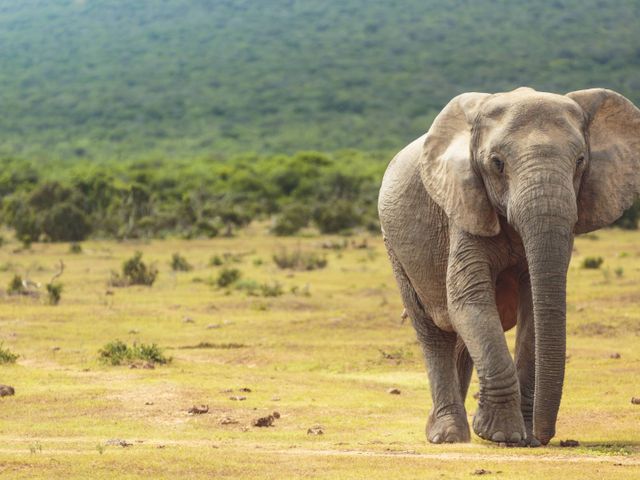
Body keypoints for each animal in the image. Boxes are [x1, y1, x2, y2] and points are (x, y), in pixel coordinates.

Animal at [378, 86, 640, 446]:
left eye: (580, 161)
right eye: (497, 164)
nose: (543, 437)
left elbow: (532, 308)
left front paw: (521, 435)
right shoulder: (464, 206)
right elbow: (469, 299)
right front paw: (501, 434)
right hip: (394, 247)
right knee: (433, 332)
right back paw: (446, 436)